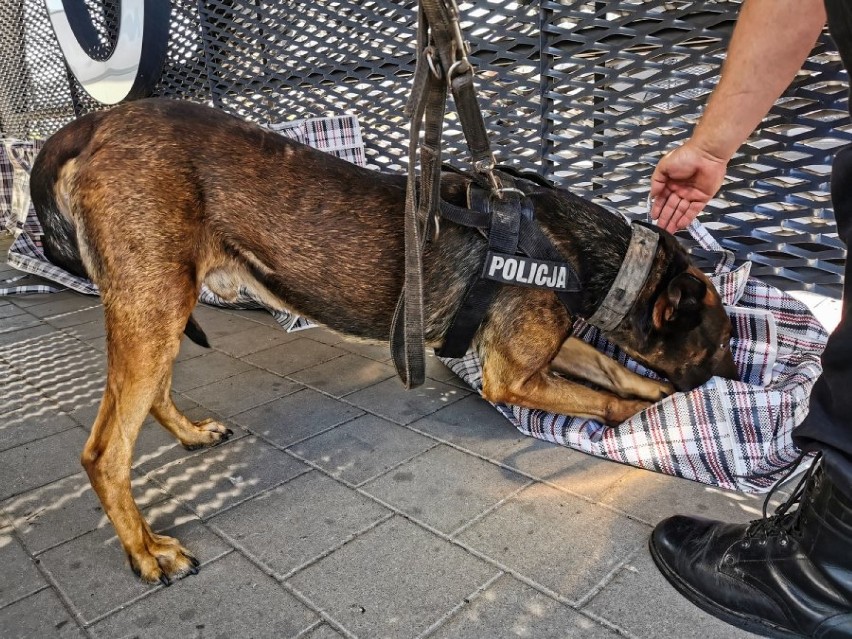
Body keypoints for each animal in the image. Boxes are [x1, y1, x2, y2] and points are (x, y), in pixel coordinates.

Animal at [30, 99, 736, 584]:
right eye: (718, 340)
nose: (734, 375)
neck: (598, 258)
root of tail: (93, 124)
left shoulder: (541, 347)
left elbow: (616, 373)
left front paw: (655, 393)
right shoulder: (513, 376)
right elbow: (611, 400)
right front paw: (654, 414)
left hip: (161, 307)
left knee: (149, 396)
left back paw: (190, 434)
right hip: (155, 304)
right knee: (105, 452)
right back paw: (147, 551)